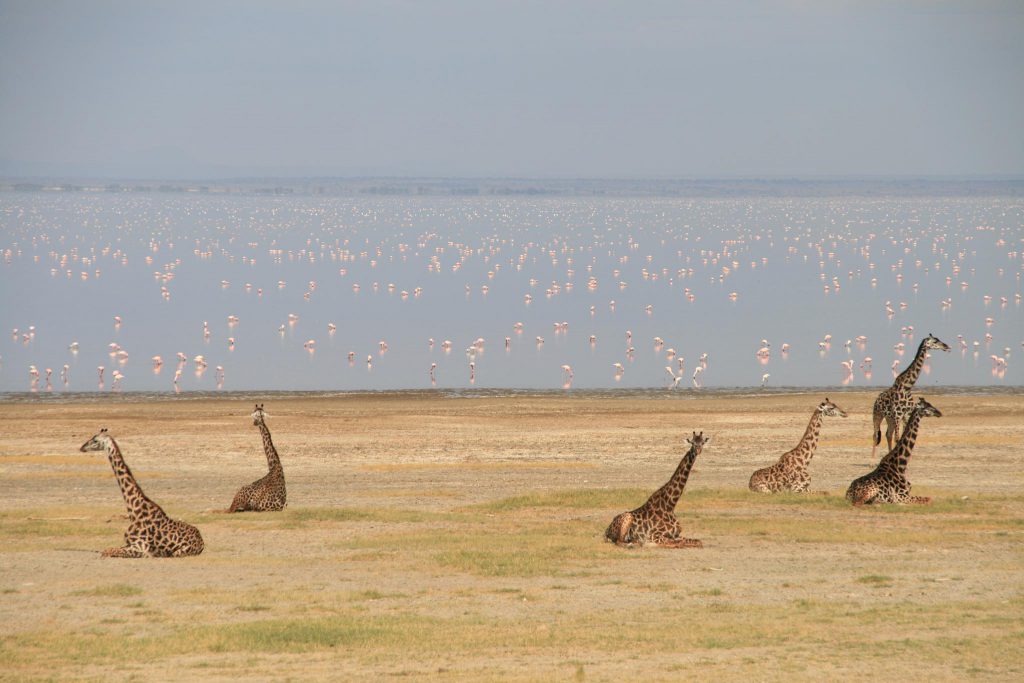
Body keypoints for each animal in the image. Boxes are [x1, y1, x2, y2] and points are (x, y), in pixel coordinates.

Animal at [79, 429, 204, 557]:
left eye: (95, 440)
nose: (81, 448)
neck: (135, 512)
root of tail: (202, 543)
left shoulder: (141, 548)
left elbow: (107, 551)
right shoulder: (131, 545)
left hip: (177, 552)